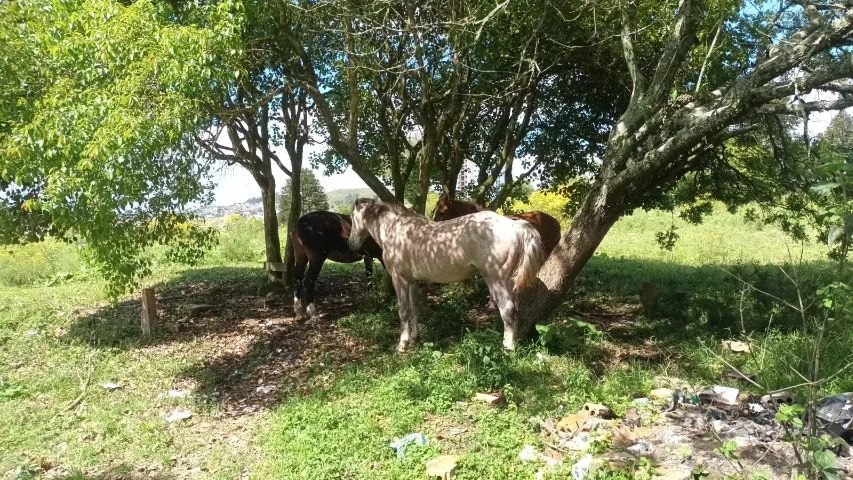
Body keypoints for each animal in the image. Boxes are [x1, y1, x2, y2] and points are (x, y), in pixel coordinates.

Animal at [348, 199, 545, 351]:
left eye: (351, 218)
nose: (351, 244)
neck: (395, 231)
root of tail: (514, 225)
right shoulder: (411, 282)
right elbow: (414, 309)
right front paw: (415, 338)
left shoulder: (399, 280)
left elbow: (403, 311)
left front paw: (402, 345)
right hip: (509, 281)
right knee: (516, 309)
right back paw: (515, 342)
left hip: (496, 280)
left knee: (508, 310)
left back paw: (508, 348)